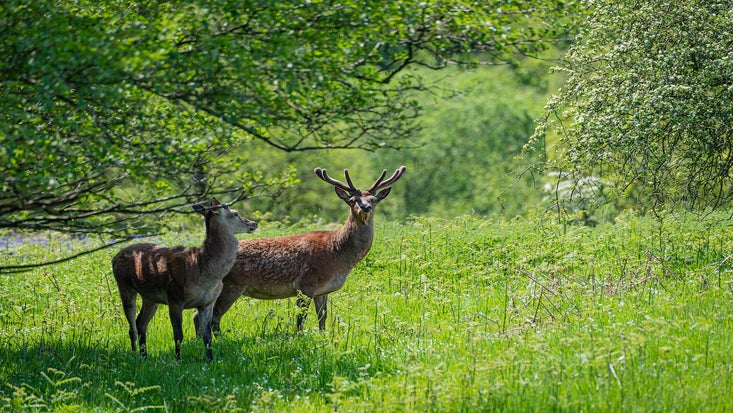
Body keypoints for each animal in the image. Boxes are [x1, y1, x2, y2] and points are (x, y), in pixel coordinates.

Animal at [112, 198, 257, 361]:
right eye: (236, 213)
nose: (254, 223)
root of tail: (114, 258)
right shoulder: (174, 298)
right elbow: (178, 336)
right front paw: (178, 360)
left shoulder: (208, 303)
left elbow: (207, 336)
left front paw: (211, 360)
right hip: (123, 285)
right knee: (132, 326)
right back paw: (134, 355)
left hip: (150, 297)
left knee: (141, 323)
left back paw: (144, 357)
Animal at [193, 166, 406, 335]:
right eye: (352, 200)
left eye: (374, 199)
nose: (366, 207)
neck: (338, 255)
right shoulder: (306, 283)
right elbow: (300, 319)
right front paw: (300, 339)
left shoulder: (322, 290)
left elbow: (322, 318)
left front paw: (323, 337)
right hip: (231, 285)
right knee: (211, 318)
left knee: (200, 317)